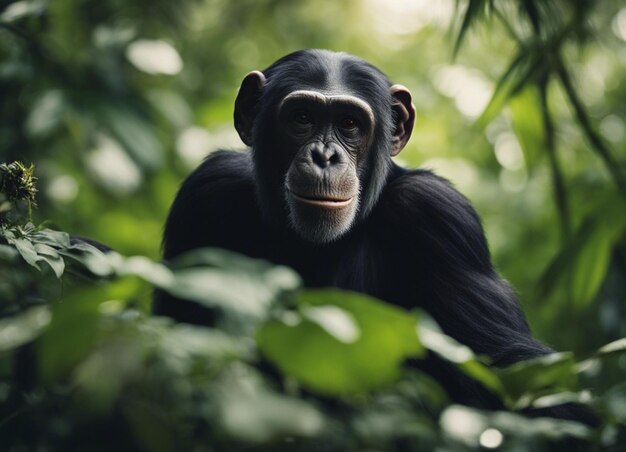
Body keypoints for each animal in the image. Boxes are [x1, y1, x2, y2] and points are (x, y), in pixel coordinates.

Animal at [154, 48, 552, 402]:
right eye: (302, 118)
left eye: (349, 124)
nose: (325, 156)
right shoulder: (205, 192)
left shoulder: (441, 217)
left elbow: (509, 369)